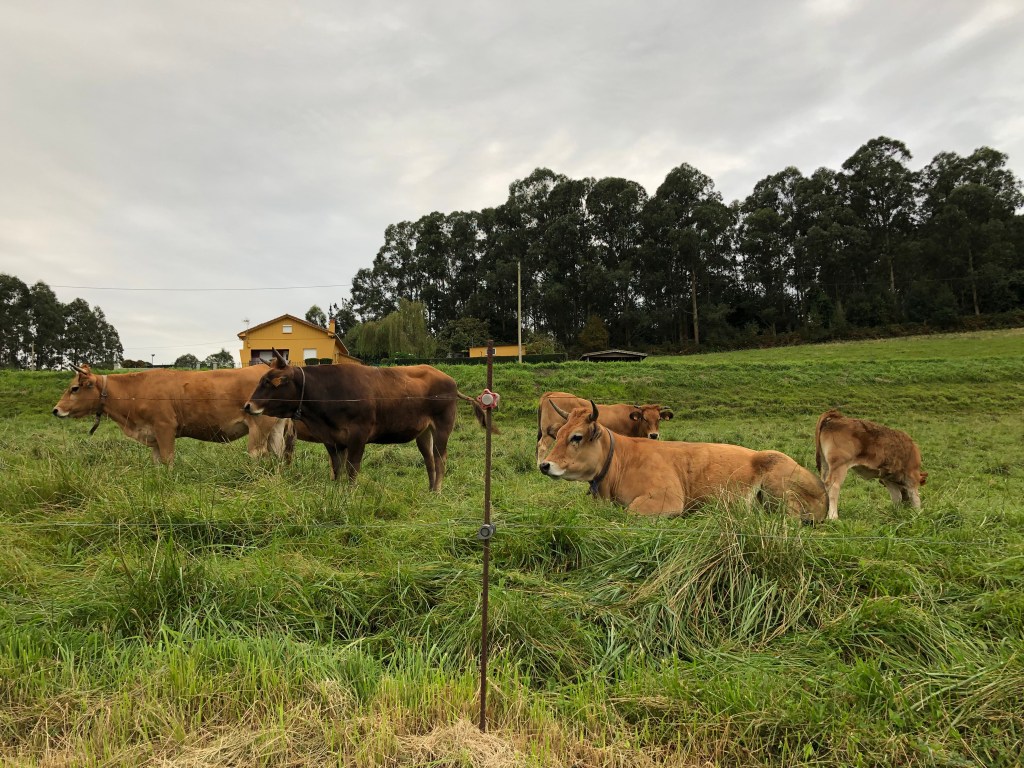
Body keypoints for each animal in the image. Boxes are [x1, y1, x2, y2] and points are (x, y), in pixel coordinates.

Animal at [52, 363, 291, 465]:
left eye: (74, 388)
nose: (55, 410)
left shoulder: (165, 427)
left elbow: (168, 460)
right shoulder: (153, 436)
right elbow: (158, 463)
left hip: (259, 428)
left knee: (258, 454)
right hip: (275, 429)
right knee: (279, 454)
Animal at [242, 351, 487, 490]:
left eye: (272, 381)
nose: (248, 406)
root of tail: (448, 379)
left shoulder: (358, 436)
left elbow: (352, 469)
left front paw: (350, 494)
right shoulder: (332, 439)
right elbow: (337, 469)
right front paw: (336, 491)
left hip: (443, 427)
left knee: (440, 459)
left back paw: (437, 491)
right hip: (424, 432)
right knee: (429, 460)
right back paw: (429, 490)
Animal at [537, 391, 673, 464]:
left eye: (659, 419)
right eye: (644, 418)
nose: (654, 435)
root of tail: (552, 393)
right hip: (549, 432)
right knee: (542, 446)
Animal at [539, 401, 827, 522]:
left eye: (577, 437)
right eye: (559, 434)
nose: (544, 465)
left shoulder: (665, 498)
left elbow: (630, 512)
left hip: (780, 489)